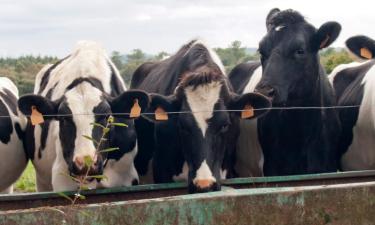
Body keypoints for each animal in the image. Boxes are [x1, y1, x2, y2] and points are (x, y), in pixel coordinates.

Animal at [17, 40, 149, 192]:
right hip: (42, 182)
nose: (85, 163)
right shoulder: (63, 179)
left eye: (106, 116)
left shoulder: (125, 177)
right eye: (63, 118)